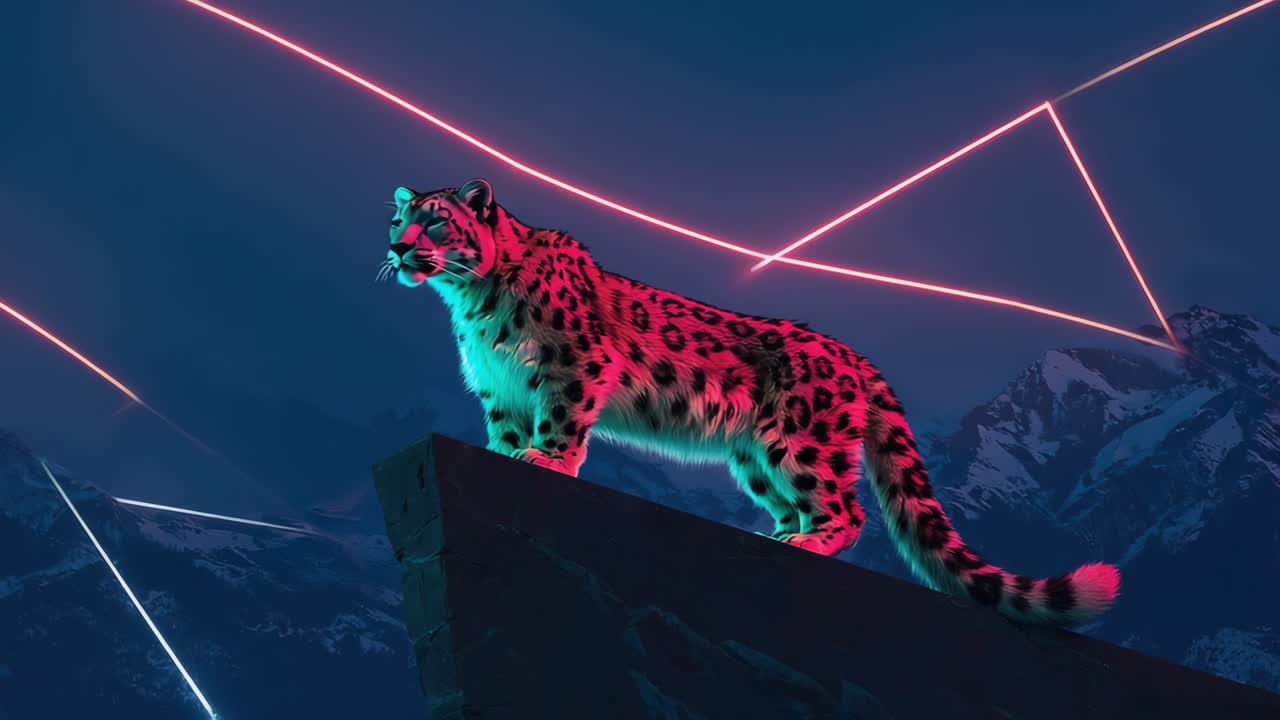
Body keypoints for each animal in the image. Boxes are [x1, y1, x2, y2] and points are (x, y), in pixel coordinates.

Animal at [380, 178, 1120, 626]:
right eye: (398, 217)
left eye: (436, 224)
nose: (395, 246)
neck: (472, 304)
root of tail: (858, 358)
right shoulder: (499, 387)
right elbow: (502, 433)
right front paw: (507, 455)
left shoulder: (572, 367)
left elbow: (560, 422)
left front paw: (547, 459)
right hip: (756, 458)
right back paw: (779, 534)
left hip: (800, 443)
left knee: (848, 509)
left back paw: (809, 542)